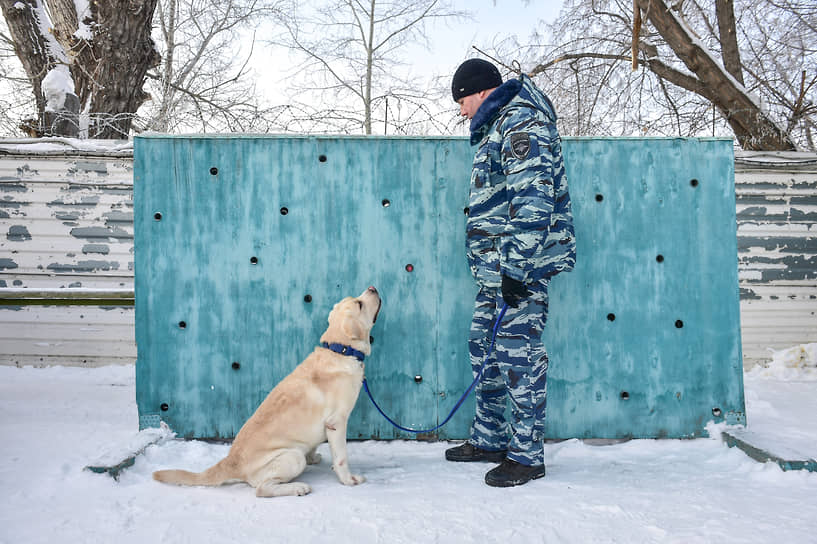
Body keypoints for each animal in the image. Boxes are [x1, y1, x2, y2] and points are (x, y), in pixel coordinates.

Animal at [153, 288, 382, 498]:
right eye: (359, 304)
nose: (372, 288)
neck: (340, 350)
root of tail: (230, 462)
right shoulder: (337, 423)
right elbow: (342, 458)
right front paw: (349, 480)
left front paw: (314, 457)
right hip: (292, 457)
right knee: (262, 489)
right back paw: (298, 487)